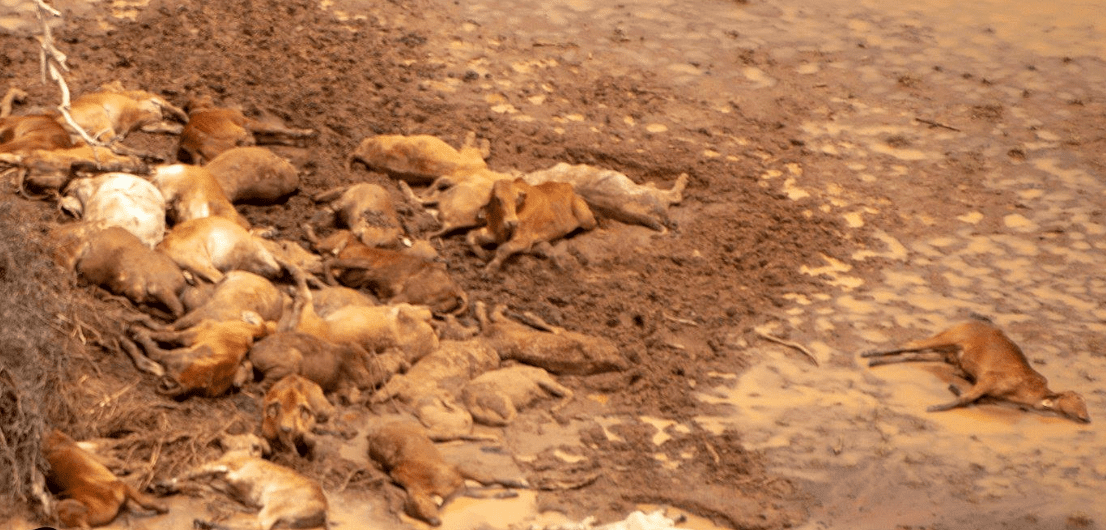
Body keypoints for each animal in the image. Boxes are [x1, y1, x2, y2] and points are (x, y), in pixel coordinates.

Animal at [466, 178, 597, 272]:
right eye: (498, 199)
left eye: (516, 199)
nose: (512, 222)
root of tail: (570, 188)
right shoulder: (494, 232)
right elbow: (470, 236)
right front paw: (483, 255)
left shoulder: (524, 240)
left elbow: (504, 248)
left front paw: (489, 270)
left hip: (586, 218)